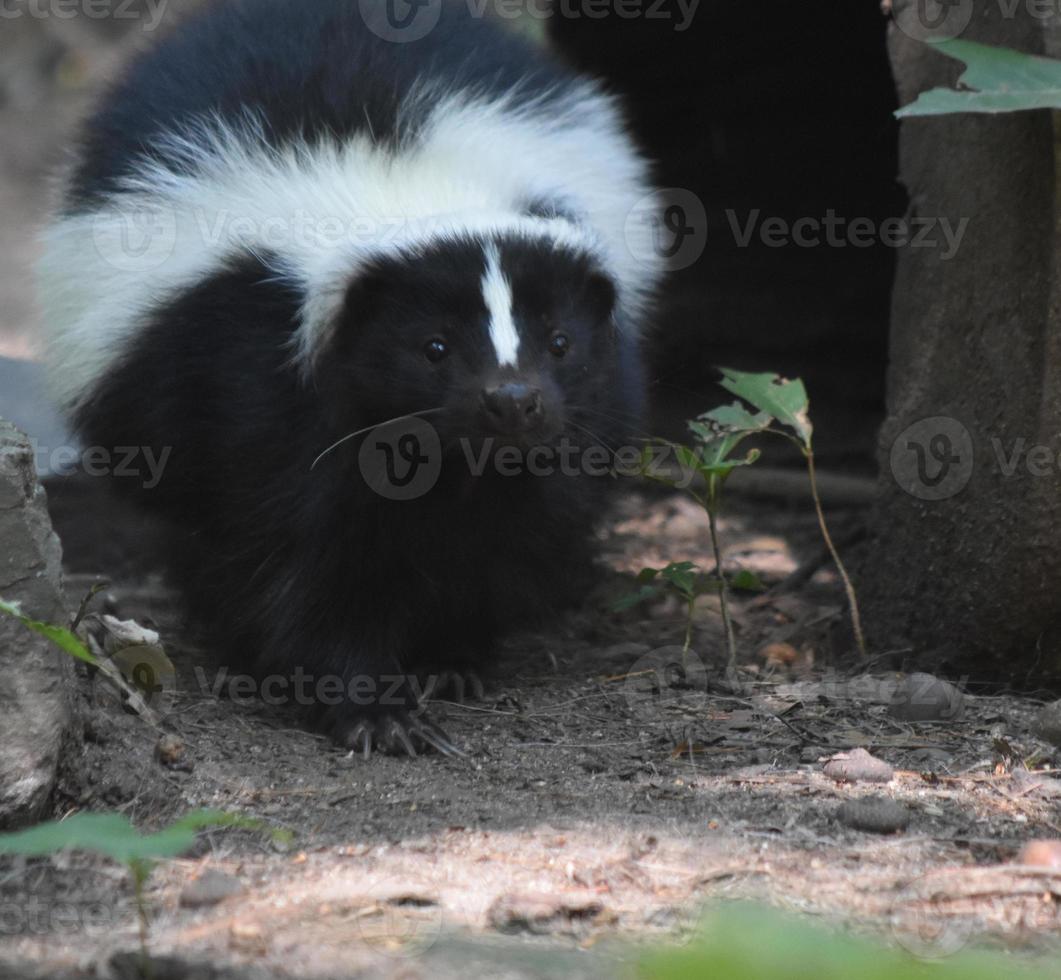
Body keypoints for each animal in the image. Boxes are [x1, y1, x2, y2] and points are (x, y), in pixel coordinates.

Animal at [41, 0, 662, 759]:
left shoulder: (564, 438)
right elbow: (298, 566)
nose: (513, 401)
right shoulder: (252, 389)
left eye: (560, 342)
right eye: (432, 347)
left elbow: (505, 539)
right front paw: (375, 708)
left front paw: (449, 658)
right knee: (203, 537)